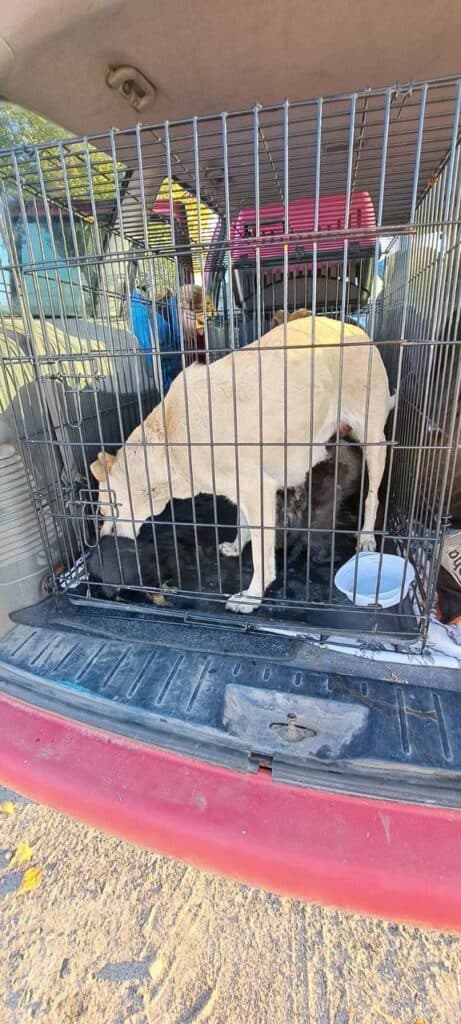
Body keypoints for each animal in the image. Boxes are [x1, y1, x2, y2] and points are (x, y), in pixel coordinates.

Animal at [90, 315, 392, 613]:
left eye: (105, 511)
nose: (102, 547)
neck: (170, 442)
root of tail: (354, 329)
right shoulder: (243, 492)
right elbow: (243, 525)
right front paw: (237, 547)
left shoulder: (258, 491)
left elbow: (261, 557)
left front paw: (252, 597)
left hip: (374, 441)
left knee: (373, 496)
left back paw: (366, 535)